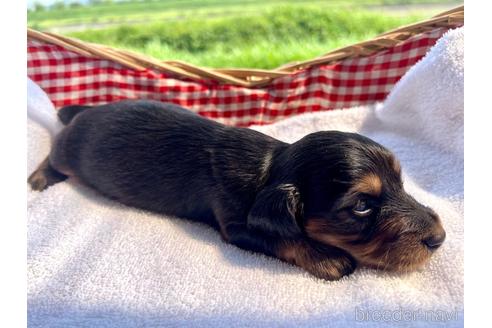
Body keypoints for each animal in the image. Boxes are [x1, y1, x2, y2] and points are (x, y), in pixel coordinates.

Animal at [28, 99, 448, 280]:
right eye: (361, 206)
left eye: (400, 182)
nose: (440, 238)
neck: (269, 168)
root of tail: (84, 111)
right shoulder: (237, 223)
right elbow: (285, 237)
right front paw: (327, 257)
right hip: (68, 151)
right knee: (53, 153)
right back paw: (39, 179)